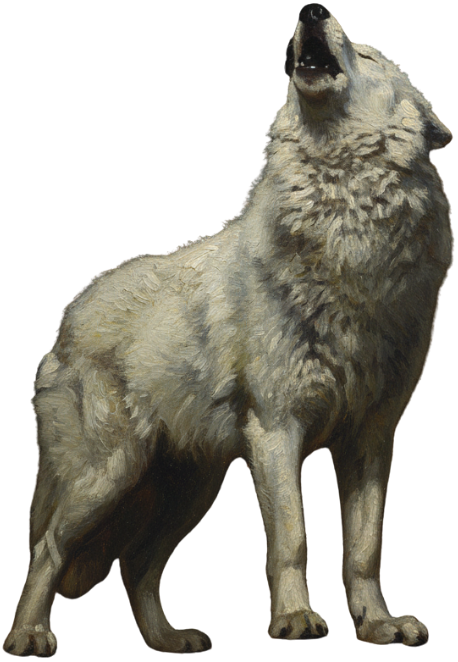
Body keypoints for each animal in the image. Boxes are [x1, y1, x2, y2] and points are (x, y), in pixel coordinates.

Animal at [4, 3, 453, 656]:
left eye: (367, 53)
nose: (311, 11)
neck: (345, 232)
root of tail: (67, 318)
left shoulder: (369, 436)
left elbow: (365, 547)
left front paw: (377, 625)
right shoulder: (277, 426)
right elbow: (293, 534)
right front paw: (296, 620)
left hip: (186, 488)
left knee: (139, 564)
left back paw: (169, 641)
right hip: (108, 473)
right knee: (49, 547)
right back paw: (30, 634)